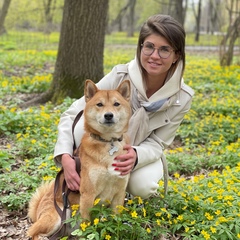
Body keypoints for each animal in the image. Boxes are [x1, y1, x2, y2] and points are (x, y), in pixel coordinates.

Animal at [27, 79, 131, 239]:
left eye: (116, 104)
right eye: (99, 104)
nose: (108, 115)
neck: (108, 142)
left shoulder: (119, 194)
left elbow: (116, 223)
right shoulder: (87, 195)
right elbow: (87, 225)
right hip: (57, 216)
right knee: (32, 232)